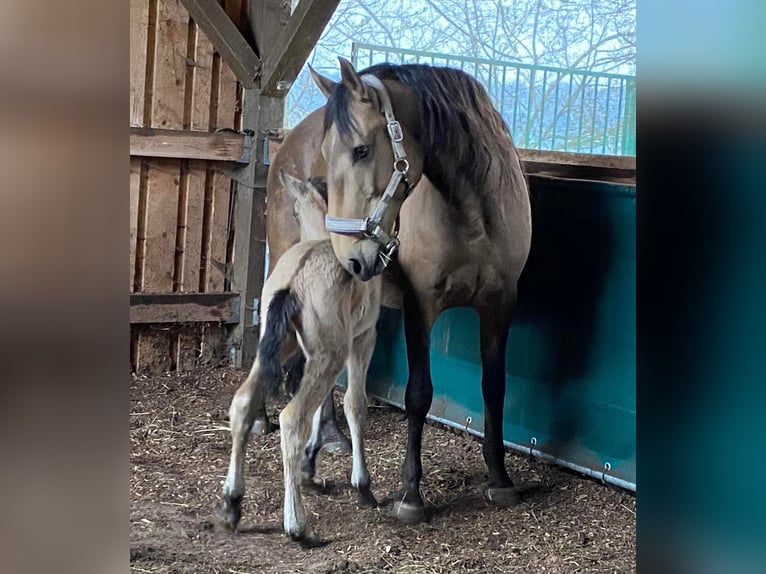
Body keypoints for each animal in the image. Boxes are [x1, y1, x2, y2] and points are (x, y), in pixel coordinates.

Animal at [219, 172, 380, 548]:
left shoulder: (309, 352)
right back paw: (299, 527)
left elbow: (324, 403)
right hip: (331, 353)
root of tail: (293, 282)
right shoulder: (362, 339)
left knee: (243, 403)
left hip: (279, 348)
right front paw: (362, 485)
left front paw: (310, 467)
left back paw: (233, 503)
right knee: (292, 418)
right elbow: (354, 403)